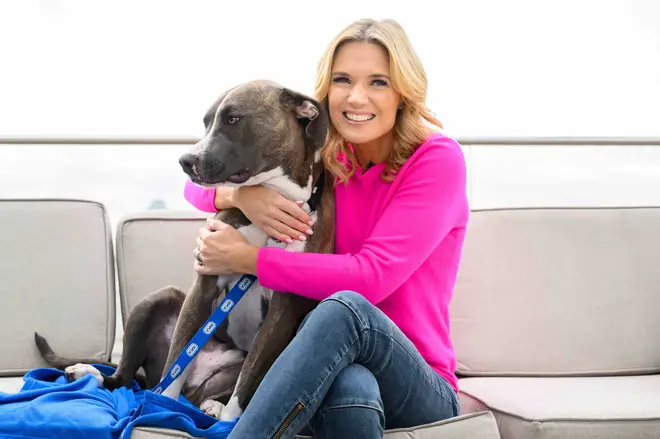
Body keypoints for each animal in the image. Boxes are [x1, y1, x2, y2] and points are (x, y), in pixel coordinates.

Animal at [34, 81, 336, 422]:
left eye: (233, 119)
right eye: (206, 122)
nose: (185, 160)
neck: (275, 200)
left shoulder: (282, 311)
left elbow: (248, 381)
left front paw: (229, 418)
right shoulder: (204, 284)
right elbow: (176, 363)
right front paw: (161, 406)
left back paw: (213, 406)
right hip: (159, 300)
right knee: (128, 378)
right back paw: (93, 374)